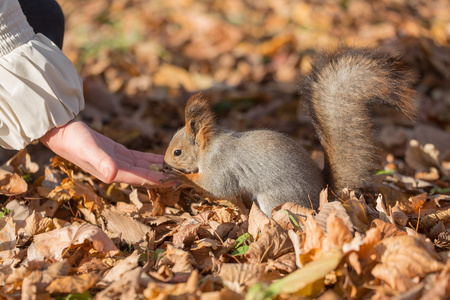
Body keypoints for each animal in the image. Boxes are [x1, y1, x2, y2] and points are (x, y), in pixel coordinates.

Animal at [163, 47, 416, 216]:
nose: (165, 162)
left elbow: (215, 186)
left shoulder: (221, 166)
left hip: (276, 198)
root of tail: (323, 193)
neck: (209, 147)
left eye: (177, 152)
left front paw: (181, 177)